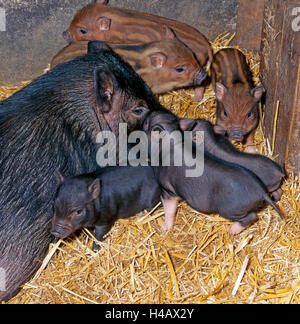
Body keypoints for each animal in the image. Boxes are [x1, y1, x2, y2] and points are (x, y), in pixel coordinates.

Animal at [144, 112, 284, 234]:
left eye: (146, 122)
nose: (147, 113)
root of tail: (261, 191)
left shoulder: (167, 189)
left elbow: (169, 208)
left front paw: (163, 230)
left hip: (230, 209)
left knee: (252, 216)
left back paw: (232, 231)